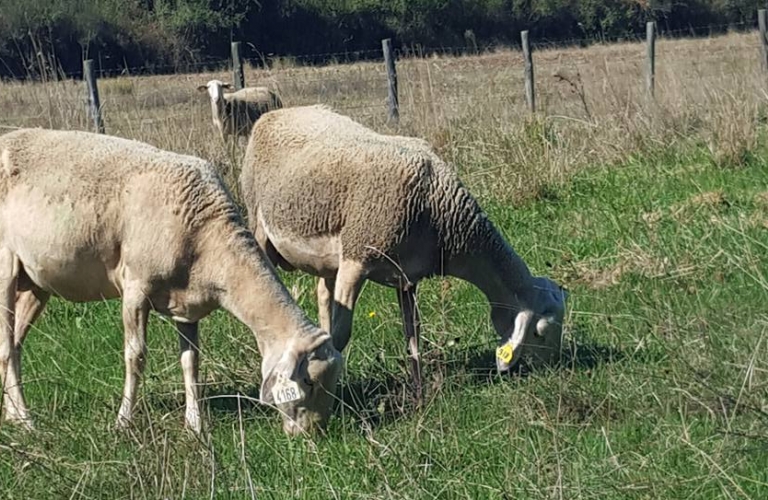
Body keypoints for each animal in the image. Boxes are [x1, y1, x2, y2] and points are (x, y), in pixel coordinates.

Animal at [0, 129, 342, 438]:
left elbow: (191, 362)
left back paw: (12, 416)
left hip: (34, 282)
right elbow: (135, 357)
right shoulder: (135, 289)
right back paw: (27, 421)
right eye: (309, 382)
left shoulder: (187, 304)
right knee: (6, 346)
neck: (209, 239)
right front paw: (123, 423)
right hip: (5, 267)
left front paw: (195, 426)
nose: (311, 434)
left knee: (14, 345)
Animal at [240, 105, 568, 402]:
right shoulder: (357, 258)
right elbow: (343, 335)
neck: (439, 208)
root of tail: (275, 113)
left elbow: (413, 334)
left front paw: (419, 393)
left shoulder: (407, 278)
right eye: (539, 332)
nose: (553, 372)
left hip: (329, 258)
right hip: (259, 222)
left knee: (322, 292)